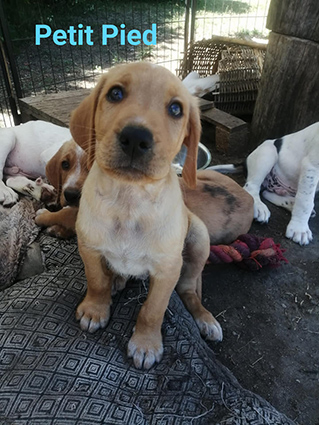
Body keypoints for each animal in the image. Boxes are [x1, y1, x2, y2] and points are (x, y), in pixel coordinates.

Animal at [70, 61, 225, 370]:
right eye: (115, 93)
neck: (129, 201)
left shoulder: (167, 270)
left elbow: (153, 309)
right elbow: (96, 281)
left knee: (189, 290)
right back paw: (117, 281)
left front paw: (146, 344)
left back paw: (205, 319)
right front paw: (95, 309)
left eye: (176, 109)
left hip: (199, 239)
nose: (136, 137)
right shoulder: (89, 247)